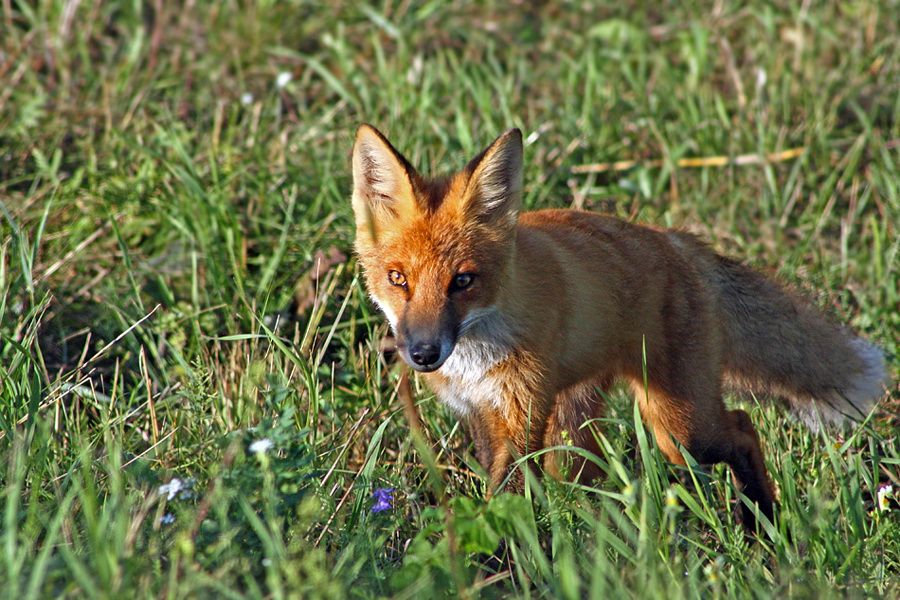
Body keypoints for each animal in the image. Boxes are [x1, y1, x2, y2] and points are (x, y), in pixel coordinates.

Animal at [348, 123, 888, 528]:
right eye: (397, 279)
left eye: (462, 281)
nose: (423, 354)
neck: (477, 353)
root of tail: (675, 241)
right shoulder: (481, 416)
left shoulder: (521, 418)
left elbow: (504, 506)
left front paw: (495, 568)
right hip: (575, 430)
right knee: (587, 485)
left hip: (680, 429)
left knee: (742, 427)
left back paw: (763, 527)